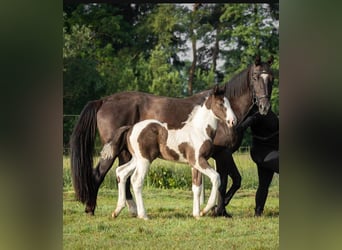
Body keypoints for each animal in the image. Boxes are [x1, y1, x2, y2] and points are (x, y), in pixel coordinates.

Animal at [108, 86, 236, 219]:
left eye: (229, 103)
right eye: (220, 103)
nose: (233, 121)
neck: (199, 130)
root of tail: (131, 128)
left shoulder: (194, 165)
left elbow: (197, 188)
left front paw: (196, 214)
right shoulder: (198, 160)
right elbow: (216, 178)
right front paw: (204, 210)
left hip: (137, 159)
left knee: (121, 172)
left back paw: (117, 210)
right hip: (145, 160)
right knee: (136, 181)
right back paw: (143, 215)